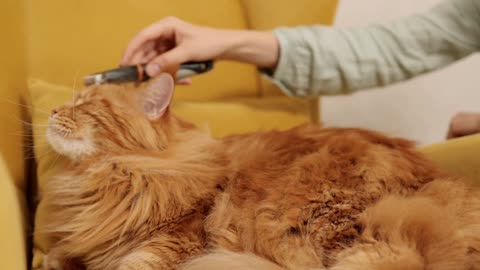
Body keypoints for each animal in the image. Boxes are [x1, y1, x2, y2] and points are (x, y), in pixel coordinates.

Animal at [38, 73, 480, 268]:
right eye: (70, 102)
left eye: (86, 105)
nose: (53, 111)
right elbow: (58, 258)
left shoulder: (174, 243)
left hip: (326, 219)